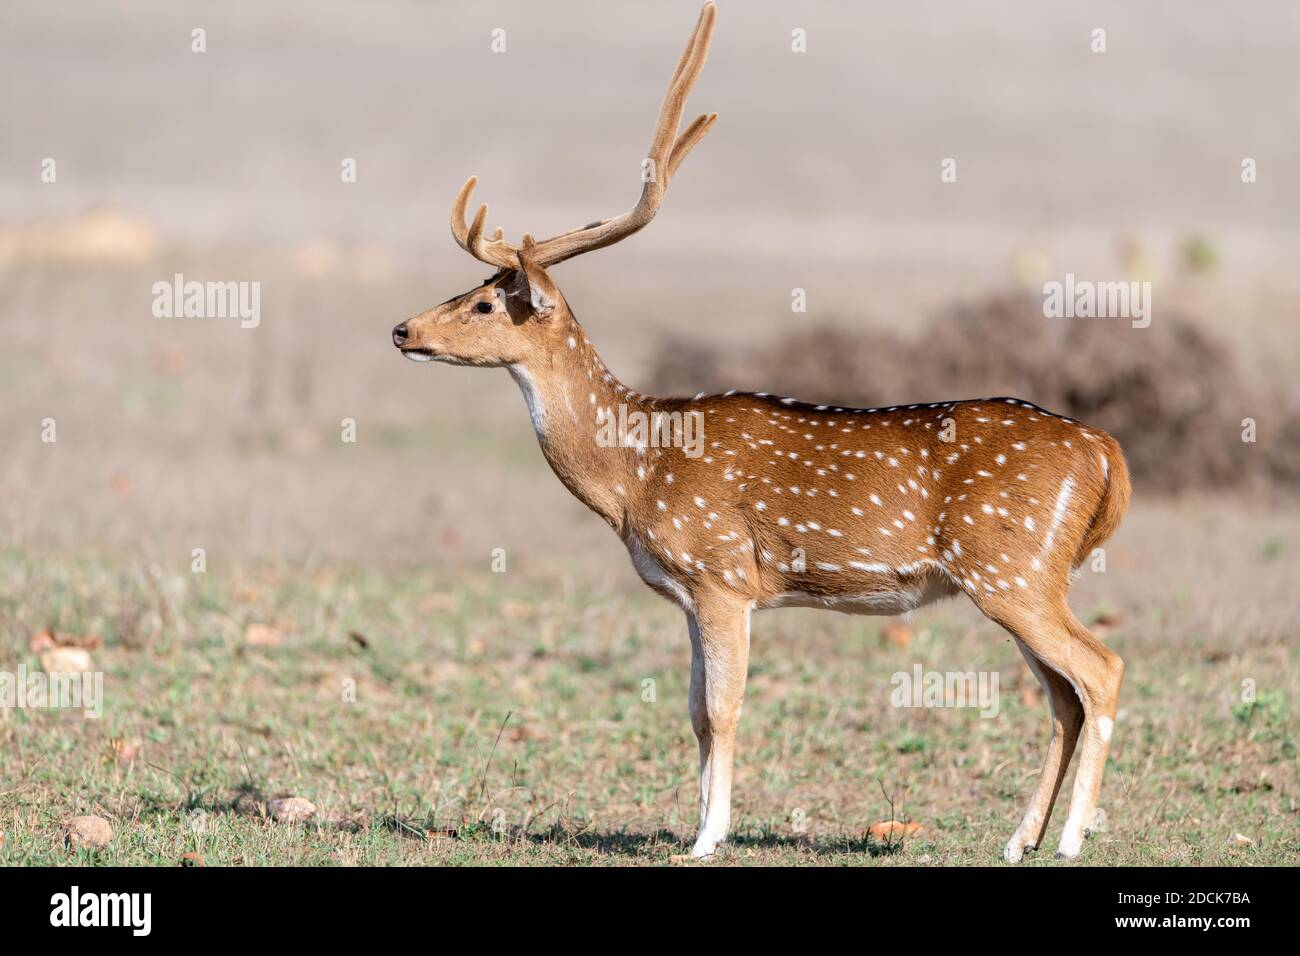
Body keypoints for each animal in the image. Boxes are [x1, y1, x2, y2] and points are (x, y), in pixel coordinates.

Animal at [391, 1, 1129, 862]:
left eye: (483, 301)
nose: (402, 330)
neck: (636, 474)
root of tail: (1106, 452)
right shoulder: (686, 595)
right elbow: (691, 713)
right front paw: (696, 822)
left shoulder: (722, 574)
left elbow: (723, 709)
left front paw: (707, 838)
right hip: (1023, 577)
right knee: (1064, 694)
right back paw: (1019, 840)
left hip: (1013, 567)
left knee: (1101, 669)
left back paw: (1071, 838)